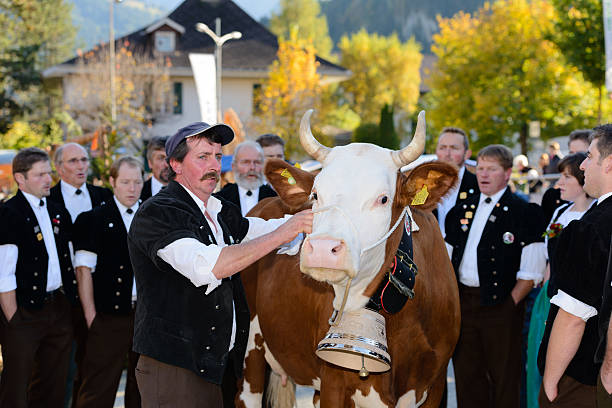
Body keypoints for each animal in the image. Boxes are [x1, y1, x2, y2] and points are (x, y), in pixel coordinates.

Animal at [237, 110, 462, 406]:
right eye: (315, 194)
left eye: (383, 199)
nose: (323, 247)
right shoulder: (333, 380)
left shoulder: (434, 385)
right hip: (249, 353)